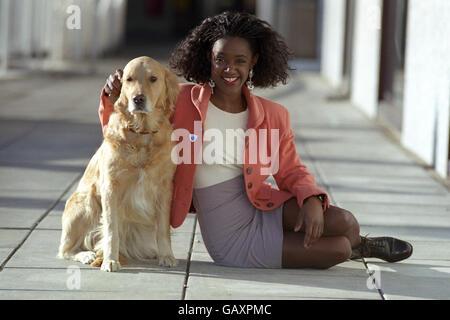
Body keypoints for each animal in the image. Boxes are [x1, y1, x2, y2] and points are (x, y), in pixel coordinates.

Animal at [58, 56, 179, 272]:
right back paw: (87, 255)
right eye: (129, 79)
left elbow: (163, 229)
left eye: (153, 78)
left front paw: (167, 256)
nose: (138, 99)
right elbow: (111, 229)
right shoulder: (111, 188)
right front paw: (110, 260)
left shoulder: (165, 188)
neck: (141, 133)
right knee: (65, 249)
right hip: (87, 201)